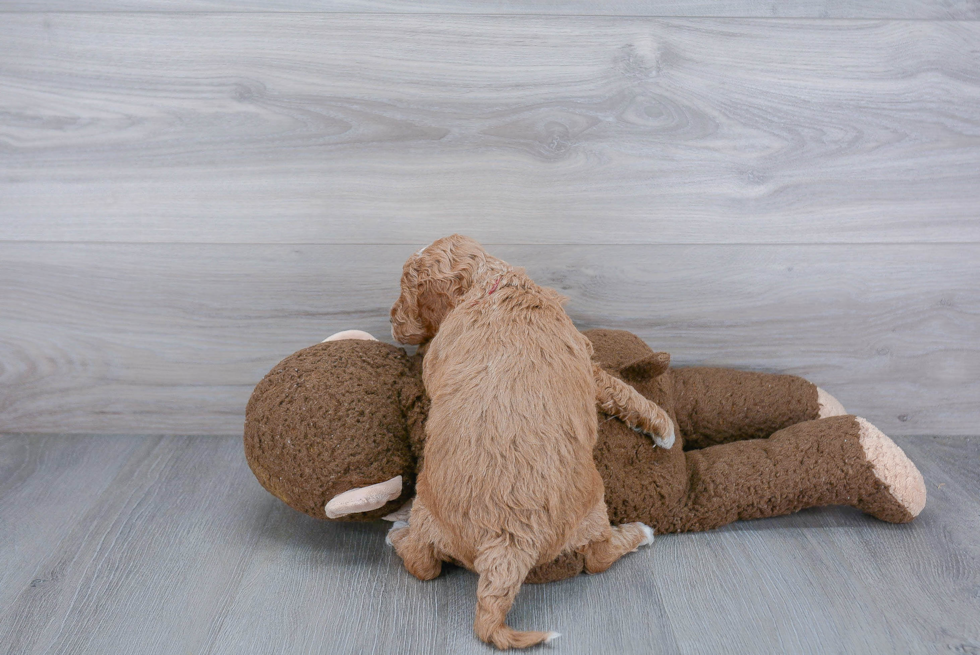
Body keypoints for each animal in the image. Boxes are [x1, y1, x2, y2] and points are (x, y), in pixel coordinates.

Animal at [386, 233, 668, 648]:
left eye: (405, 290)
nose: (390, 321)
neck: (494, 284)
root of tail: (508, 542)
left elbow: (621, 389)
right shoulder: (586, 359)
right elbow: (620, 388)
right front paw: (665, 429)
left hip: (433, 511)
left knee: (425, 565)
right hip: (590, 509)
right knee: (598, 558)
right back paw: (641, 532)